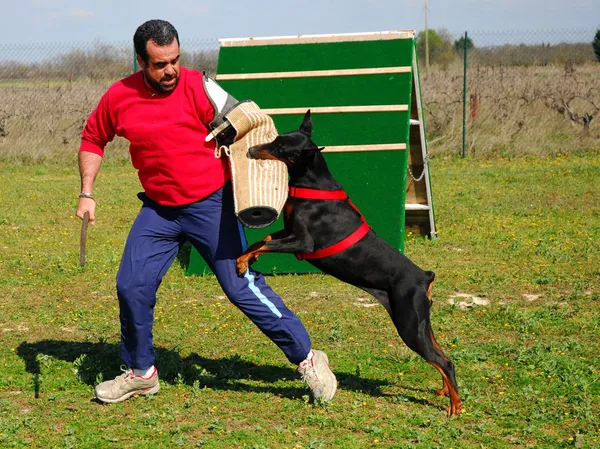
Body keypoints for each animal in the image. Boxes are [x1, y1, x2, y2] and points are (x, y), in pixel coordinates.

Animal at [237, 110, 462, 414]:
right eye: (275, 138)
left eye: (281, 147)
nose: (251, 150)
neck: (312, 184)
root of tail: (424, 277)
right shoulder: (289, 231)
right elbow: (264, 238)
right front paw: (249, 255)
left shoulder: (304, 243)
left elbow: (268, 242)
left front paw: (240, 261)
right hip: (421, 323)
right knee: (441, 355)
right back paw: (444, 391)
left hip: (408, 323)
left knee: (444, 362)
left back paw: (456, 406)